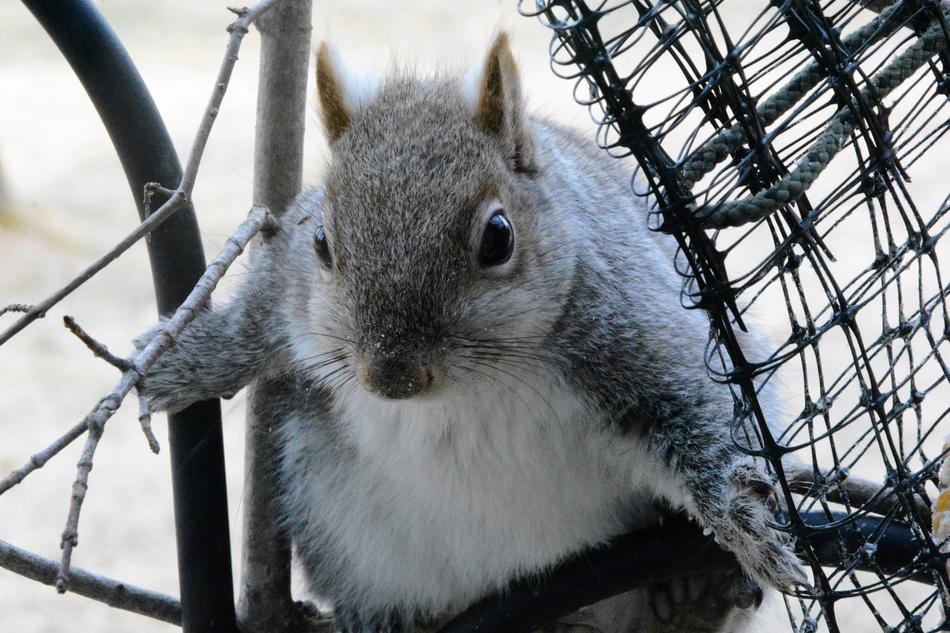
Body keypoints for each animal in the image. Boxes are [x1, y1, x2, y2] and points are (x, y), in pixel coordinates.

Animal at [138, 33, 808, 633]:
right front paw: (186, 360)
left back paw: (696, 593)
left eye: (498, 238)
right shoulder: (287, 283)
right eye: (321, 241)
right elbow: (253, 318)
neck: (467, 389)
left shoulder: (630, 323)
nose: (392, 378)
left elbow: (697, 412)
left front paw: (739, 515)